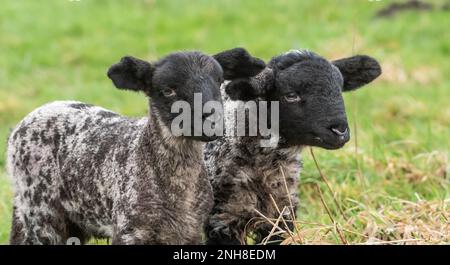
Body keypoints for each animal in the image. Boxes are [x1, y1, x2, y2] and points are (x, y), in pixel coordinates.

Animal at [6, 48, 264, 244]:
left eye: (219, 82)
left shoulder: (189, 232)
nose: (213, 122)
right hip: (40, 213)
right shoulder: (130, 231)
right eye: (168, 90)